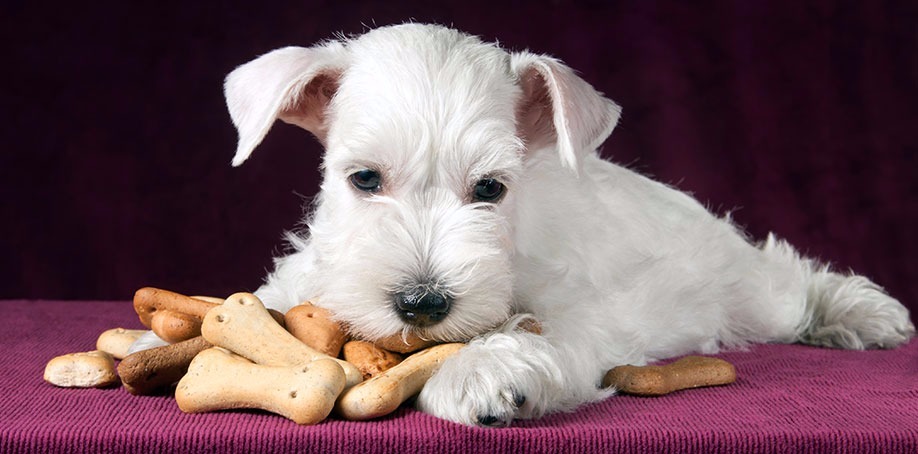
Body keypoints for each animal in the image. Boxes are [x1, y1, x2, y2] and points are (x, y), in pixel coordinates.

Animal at [140, 23, 916, 428]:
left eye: (490, 189)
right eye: (363, 179)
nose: (421, 303)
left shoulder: (580, 314)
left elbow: (533, 337)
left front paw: (482, 372)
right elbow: (275, 298)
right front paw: (156, 341)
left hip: (752, 291)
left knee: (793, 278)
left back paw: (864, 314)